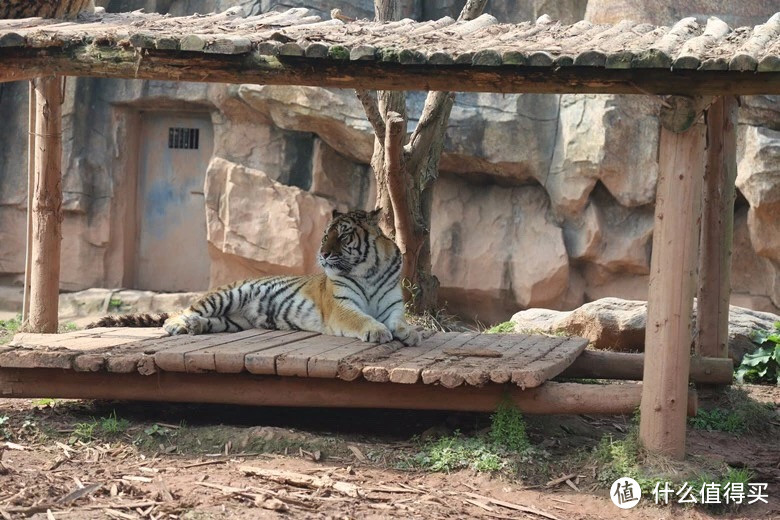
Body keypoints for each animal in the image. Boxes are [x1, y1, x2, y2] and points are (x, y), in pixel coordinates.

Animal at [87, 209, 420, 348]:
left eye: (345, 235)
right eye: (326, 235)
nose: (323, 254)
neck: (370, 269)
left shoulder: (392, 306)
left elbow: (400, 321)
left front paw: (410, 333)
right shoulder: (341, 306)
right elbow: (361, 319)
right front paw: (378, 332)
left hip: (232, 321)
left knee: (207, 321)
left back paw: (194, 327)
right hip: (225, 296)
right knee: (183, 311)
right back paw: (178, 325)